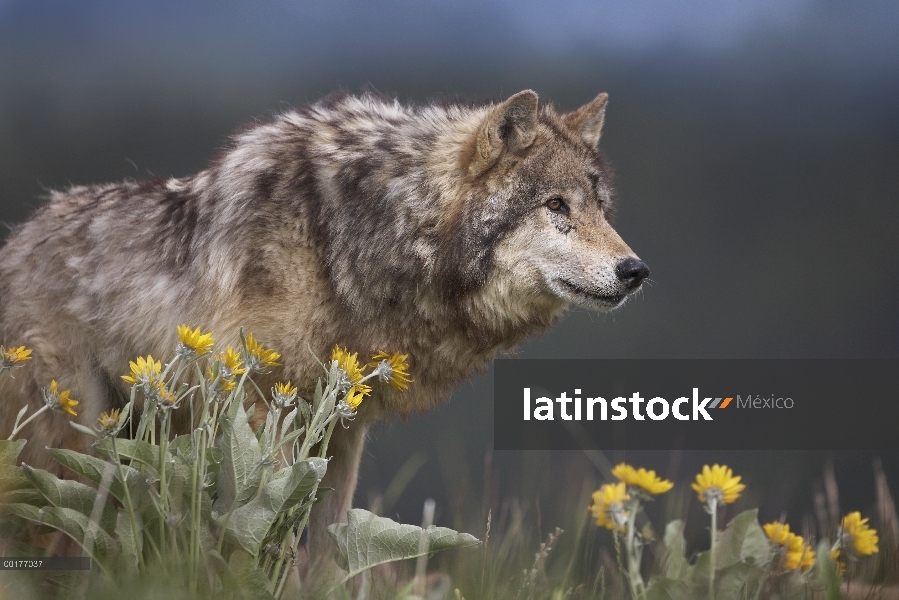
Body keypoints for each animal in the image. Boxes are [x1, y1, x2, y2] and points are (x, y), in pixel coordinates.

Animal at [0, 88, 648, 576]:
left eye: (600, 207)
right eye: (555, 205)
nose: (636, 271)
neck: (360, 238)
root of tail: (17, 242)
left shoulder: (344, 429)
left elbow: (332, 553)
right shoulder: (262, 411)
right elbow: (266, 542)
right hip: (68, 443)